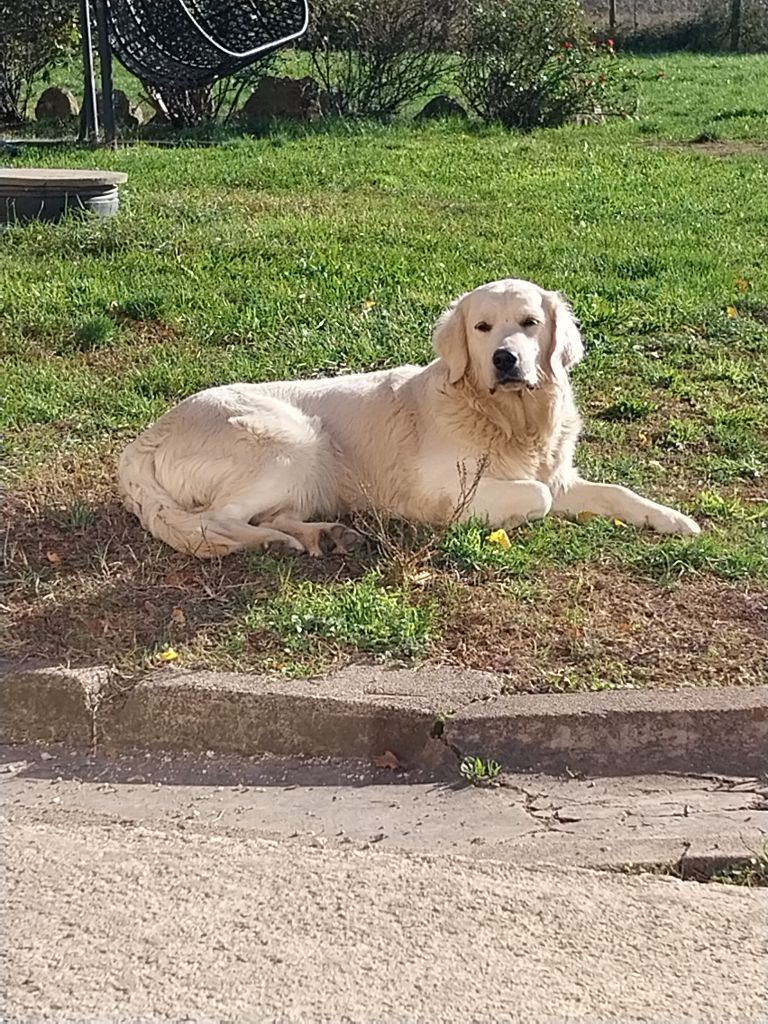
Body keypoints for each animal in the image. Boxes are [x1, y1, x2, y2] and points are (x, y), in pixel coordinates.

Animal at [117, 276, 700, 557]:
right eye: (482, 327)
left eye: (530, 323)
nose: (505, 360)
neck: (509, 418)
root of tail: (146, 437)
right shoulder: (445, 490)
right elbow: (535, 497)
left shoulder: (559, 474)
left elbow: (613, 492)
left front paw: (672, 518)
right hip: (294, 441)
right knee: (217, 521)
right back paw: (277, 543)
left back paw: (325, 534)